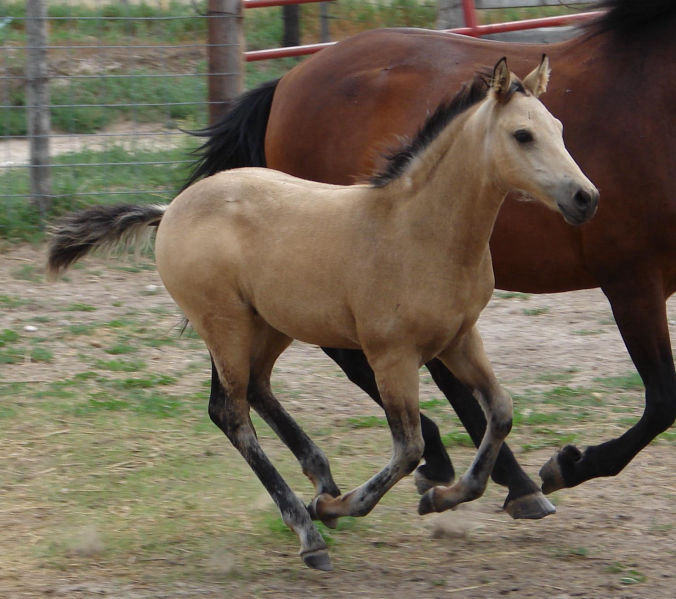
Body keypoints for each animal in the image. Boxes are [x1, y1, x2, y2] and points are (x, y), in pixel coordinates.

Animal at [47, 61, 596, 572]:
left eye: (559, 127)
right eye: (522, 135)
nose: (585, 197)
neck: (418, 231)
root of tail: (170, 210)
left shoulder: (460, 338)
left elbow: (499, 411)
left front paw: (444, 497)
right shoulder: (392, 355)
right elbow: (408, 448)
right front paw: (337, 509)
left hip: (271, 324)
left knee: (258, 388)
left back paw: (321, 476)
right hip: (224, 324)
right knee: (231, 412)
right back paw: (308, 529)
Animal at [186, 0, 676, 516]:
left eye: (561, 129)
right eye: (523, 135)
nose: (586, 198)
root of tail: (287, 81)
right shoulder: (632, 280)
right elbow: (663, 399)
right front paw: (567, 465)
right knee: (332, 367)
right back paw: (494, 479)